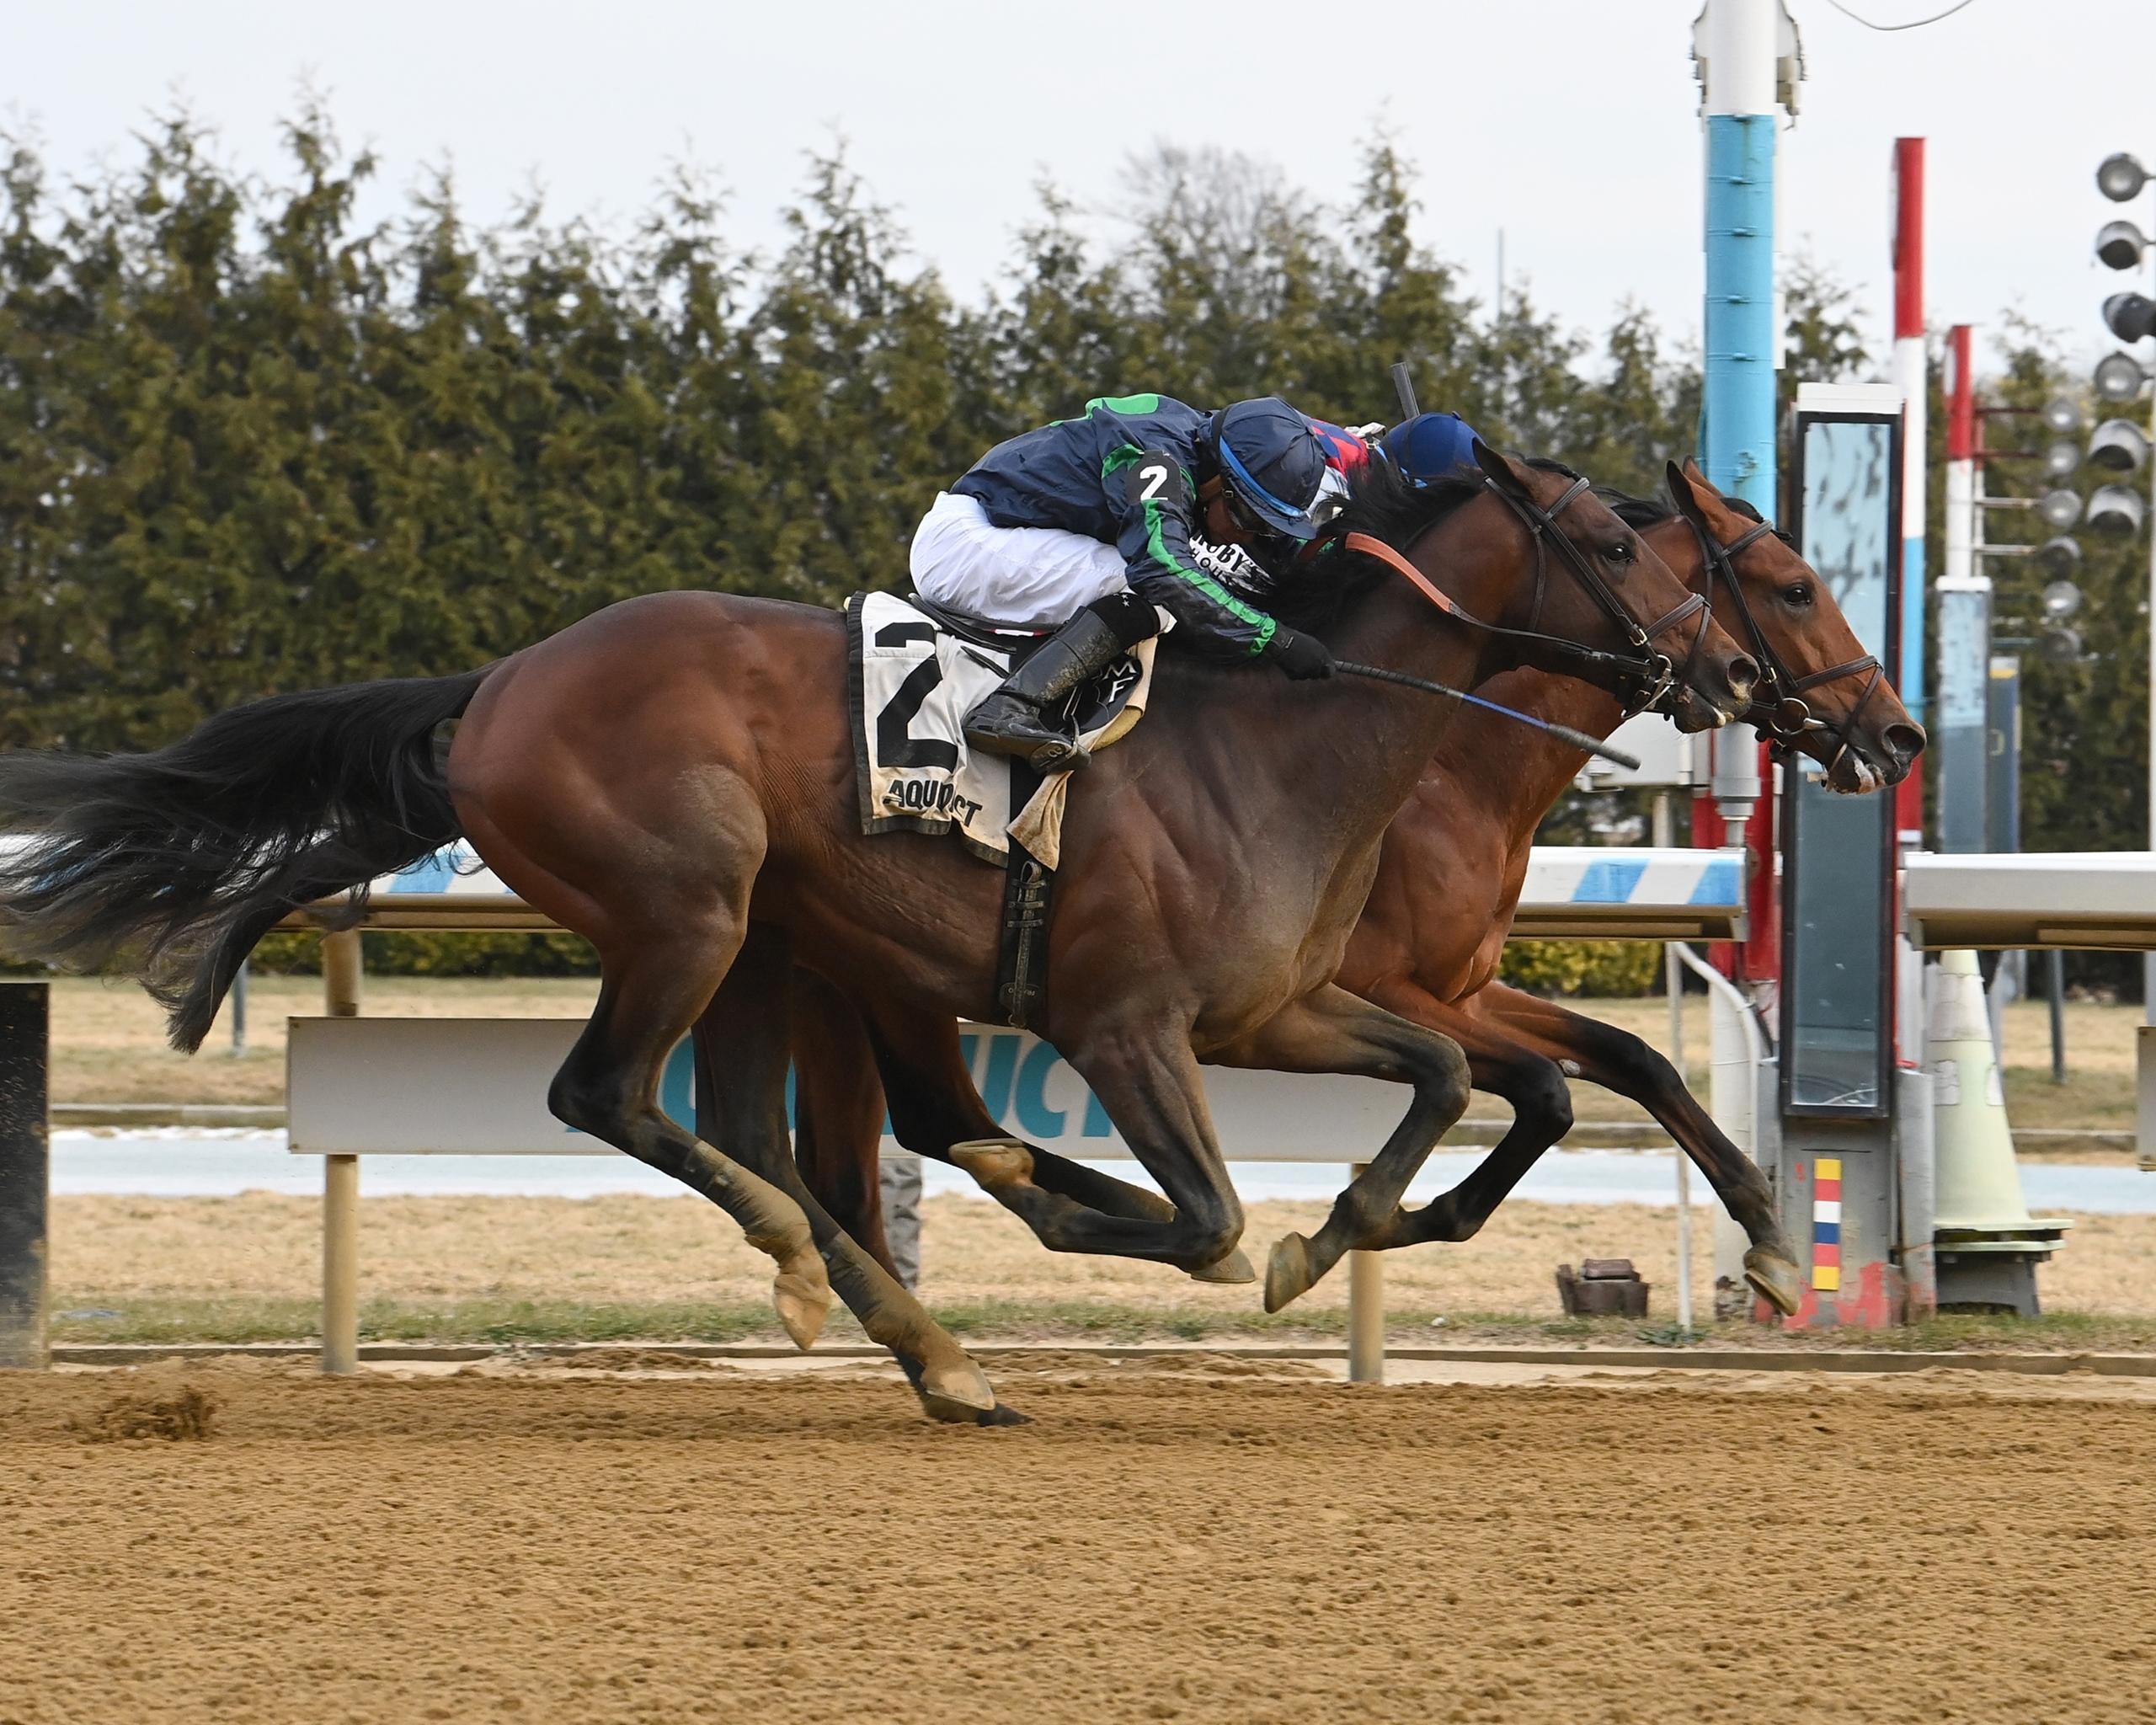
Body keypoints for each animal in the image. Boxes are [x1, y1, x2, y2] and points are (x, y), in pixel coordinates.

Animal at [0, 443, 1758, 1424]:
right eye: (1619, 546)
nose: (1727, 673)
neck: (1286, 737)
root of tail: (497, 682)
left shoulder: (1281, 1006)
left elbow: (1452, 1083)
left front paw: (1346, 1226)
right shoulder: (1127, 1024)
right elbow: (1201, 1220)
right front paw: (1199, 1226)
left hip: (775, 950)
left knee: (759, 1129)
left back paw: (931, 1349)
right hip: (690, 906)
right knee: (618, 1099)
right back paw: (834, 1281)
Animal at [767, 459, 1921, 1321]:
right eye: (1795, 586)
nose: (1897, 733)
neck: (1452, 762)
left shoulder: (1454, 986)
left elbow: (1624, 1060)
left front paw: (1771, 1242)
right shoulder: (1383, 986)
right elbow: (1538, 1088)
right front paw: (1362, 1225)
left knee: (898, 1133)